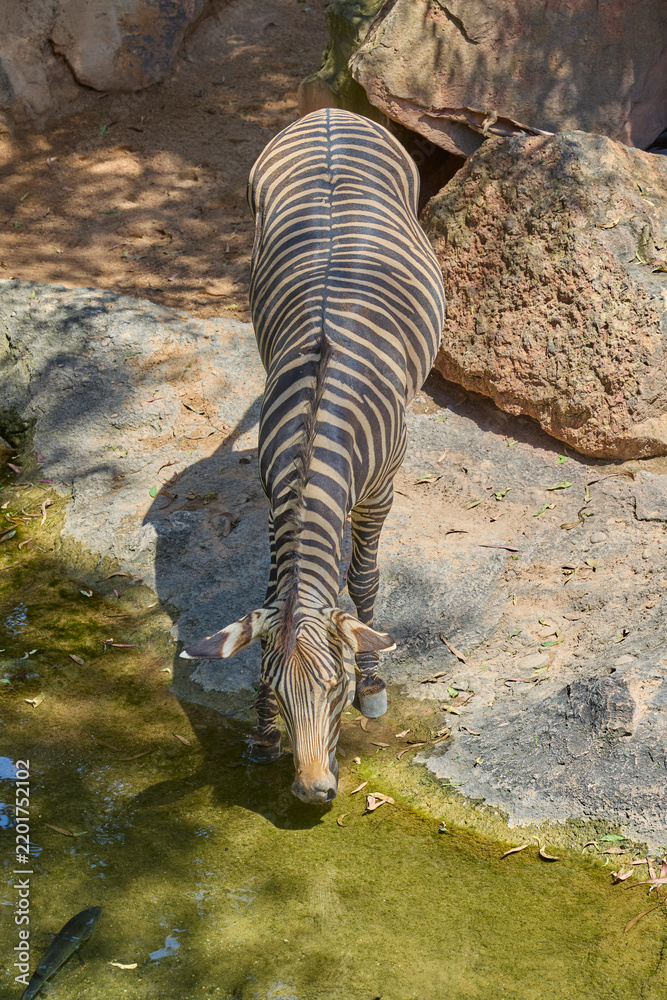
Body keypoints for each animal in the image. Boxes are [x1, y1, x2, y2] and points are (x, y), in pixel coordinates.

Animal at [181, 108, 446, 804]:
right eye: (272, 686)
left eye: (336, 686)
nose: (311, 792)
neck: (315, 434)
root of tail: (332, 113)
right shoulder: (276, 495)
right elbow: (273, 588)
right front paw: (262, 734)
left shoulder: (379, 489)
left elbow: (363, 580)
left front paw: (376, 682)